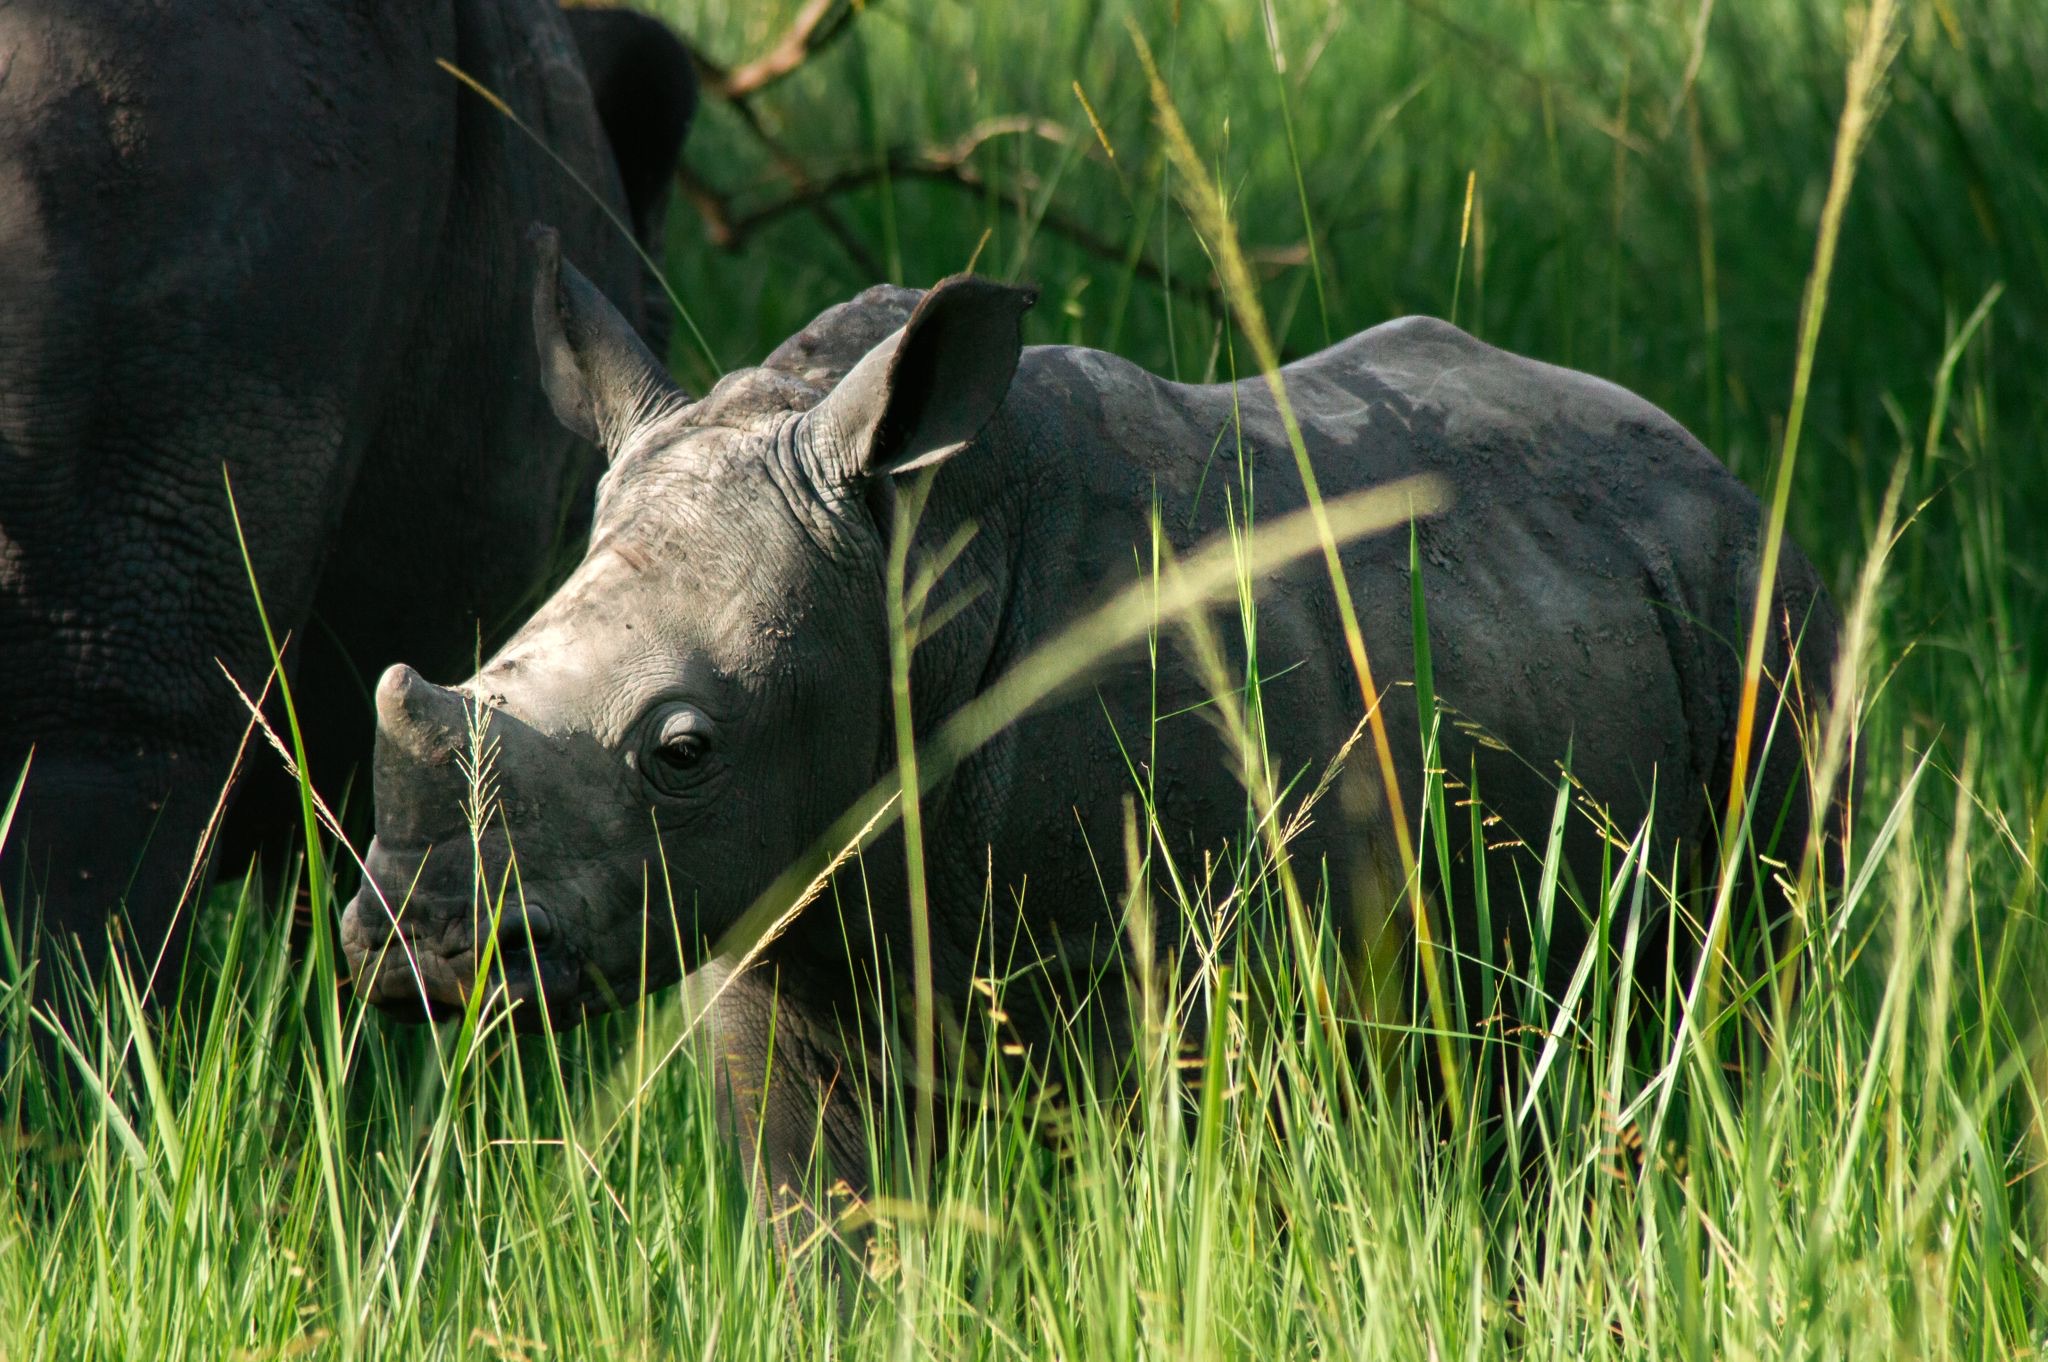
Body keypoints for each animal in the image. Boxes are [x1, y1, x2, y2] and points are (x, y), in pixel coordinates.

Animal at [343, 234, 1839, 1212]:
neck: (911, 573)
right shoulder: (773, 932)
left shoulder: (1209, 955)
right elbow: (831, 1223)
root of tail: (1709, 457)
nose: (413, 947)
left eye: (681, 750)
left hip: (1763, 619)